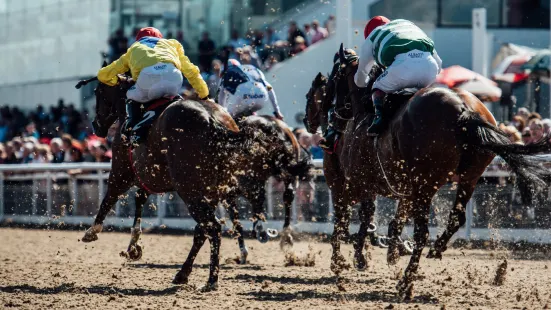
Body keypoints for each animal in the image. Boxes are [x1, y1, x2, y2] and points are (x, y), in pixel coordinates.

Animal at [75, 75, 308, 290]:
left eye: (97, 92)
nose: (96, 125)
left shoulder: (124, 171)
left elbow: (111, 196)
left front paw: (93, 232)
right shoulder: (153, 177)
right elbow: (140, 198)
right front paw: (133, 247)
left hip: (192, 191)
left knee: (214, 225)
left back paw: (213, 278)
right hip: (210, 189)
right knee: (211, 226)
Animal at [306, 43, 551, 298]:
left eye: (328, 83)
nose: (314, 124)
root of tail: (464, 109)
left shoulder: (355, 182)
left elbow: (350, 220)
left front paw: (345, 260)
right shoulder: (398, 189)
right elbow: (383, 221)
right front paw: (383, 252)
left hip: (425, 184)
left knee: (421, 232)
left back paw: (406, 282)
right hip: (469, 177)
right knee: (456, 217)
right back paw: (436, 249)